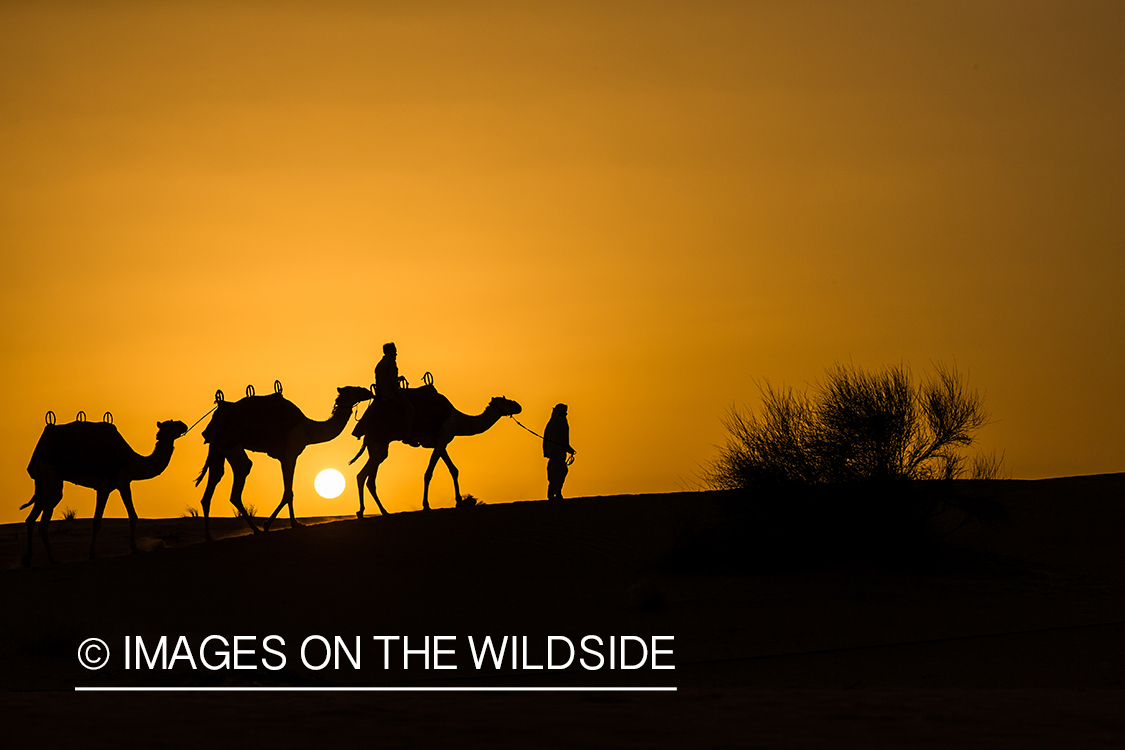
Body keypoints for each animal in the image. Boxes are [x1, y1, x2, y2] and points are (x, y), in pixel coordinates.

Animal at [21, 416, 186, 562]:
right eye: (172, 424)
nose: (184, 424)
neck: (134, 461)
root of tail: (41, 450)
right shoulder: (123, 481)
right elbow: (133, 516)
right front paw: (135, 549)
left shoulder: (104, 488)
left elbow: (97, 521)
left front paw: (93, 553)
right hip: (51, 476)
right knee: (44, 520)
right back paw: (52, 559)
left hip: (42, 483)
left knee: (31, 517)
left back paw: (27, 558)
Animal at [192, 386, 369, 539]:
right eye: (353, 390)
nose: (368, 391)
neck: (309, 429)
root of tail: (218, 417)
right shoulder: (290, 454)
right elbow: (288, 492)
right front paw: (282, 524)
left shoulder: (283, 457)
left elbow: (288, 491)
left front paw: (284, 523)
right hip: (230, 444)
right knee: (242, 472)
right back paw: (256, 529)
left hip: (217, 448)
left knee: (214, 478)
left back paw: (209, 536)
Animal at [348, 384, 519, 519]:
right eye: (506, 400)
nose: (518, 406)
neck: (457, 420)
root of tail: (366, 425)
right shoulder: (443, 440)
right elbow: (429, 473)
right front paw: (426, 505)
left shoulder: (441, 443)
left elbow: (453, 470)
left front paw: (460, 502)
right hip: (379, 443)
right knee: (363, 475)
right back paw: (367, 511)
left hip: (376, 447)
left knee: (368, 478)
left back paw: (379, 511)